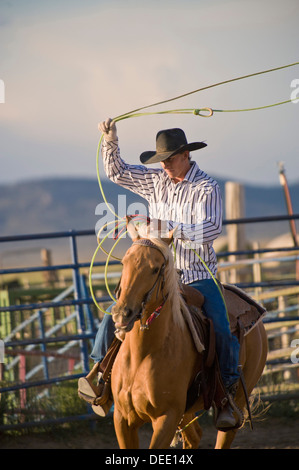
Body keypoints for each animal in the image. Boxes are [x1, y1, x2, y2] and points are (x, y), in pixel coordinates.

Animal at [110, 222, 270, 450]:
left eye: (155, 268)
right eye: (124, 262)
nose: (122, 313)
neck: (143, 354)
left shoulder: (166, 417)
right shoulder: (122, 419)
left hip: (237, 399)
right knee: (194, 435)